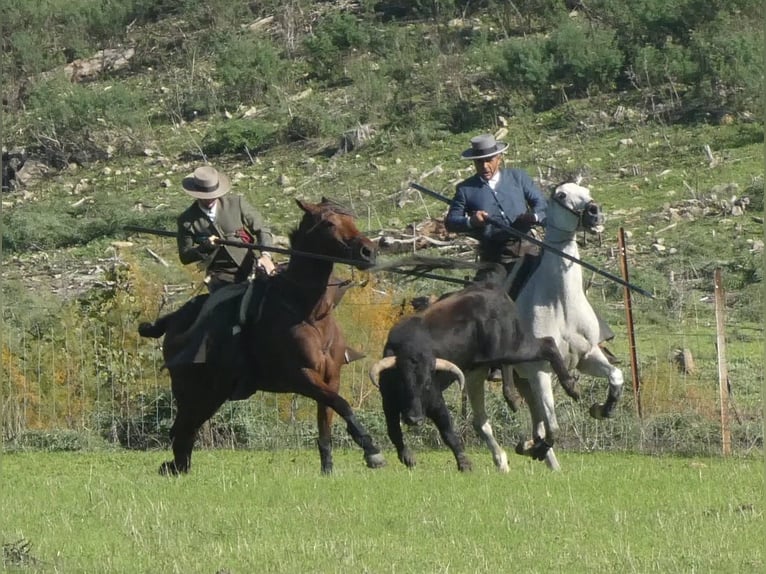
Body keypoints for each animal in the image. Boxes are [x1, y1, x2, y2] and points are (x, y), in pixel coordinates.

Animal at [139, 199, 388, 476]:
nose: (368, 252)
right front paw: (372, 450)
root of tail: (172, 319)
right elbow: (342, 404)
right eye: (329, 223)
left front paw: (328, 468)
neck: (308, 312)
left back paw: (177, 467)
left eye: (351, 219)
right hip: (191, 390)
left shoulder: (331, 376)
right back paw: (176, 467)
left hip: (213, 393)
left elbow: (327, 420)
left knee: (186, 430)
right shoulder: (302, 376)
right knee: (182, 430)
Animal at [368, 282, 580, 474]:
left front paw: (464, 463)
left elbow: (448, 432)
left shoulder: (436, 401)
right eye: (403, 383)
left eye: (427, 384)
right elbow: (393, 431)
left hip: (511, 348)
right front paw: (407, 456)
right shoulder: (388, 402)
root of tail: (495, 291)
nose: (414, 419)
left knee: (547, 345)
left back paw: (568, 387)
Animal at [510, 182, 624, 470]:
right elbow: (554, 426)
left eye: (586, 191)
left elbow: (616, 376)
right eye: (561, 195)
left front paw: (601, 409)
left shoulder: (587, 356)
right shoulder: (539, 369)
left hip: (523, 380)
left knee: (537, 420)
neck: (560, 304)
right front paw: (537, 448)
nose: (595, 212)